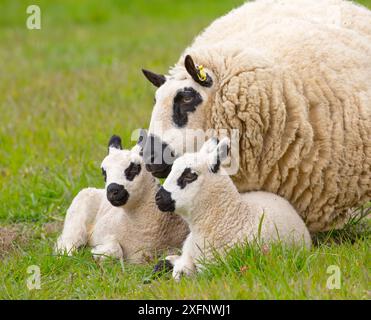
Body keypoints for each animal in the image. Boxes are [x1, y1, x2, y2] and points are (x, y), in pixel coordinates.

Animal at [55, 134, 190, 262]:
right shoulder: (101, 234)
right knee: (67, 243)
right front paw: (94, 253)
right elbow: (116, 249)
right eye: (104, 173)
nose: (112, 191)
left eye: (134, 168)